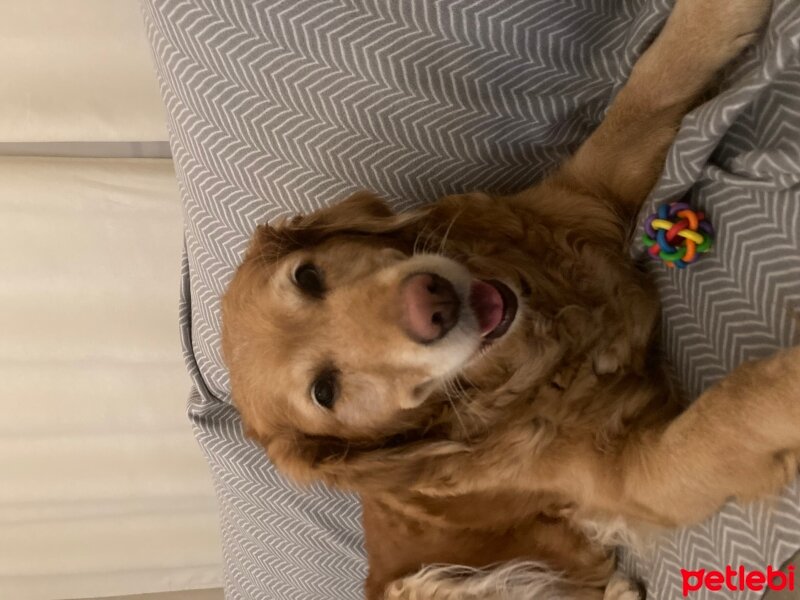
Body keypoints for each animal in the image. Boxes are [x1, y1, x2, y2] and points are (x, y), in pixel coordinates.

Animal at [220, 2, 800, 596]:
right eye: (324, 391)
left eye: (308, 276)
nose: (431, 304)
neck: (540, 347)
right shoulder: (637, 476)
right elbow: (729, 411)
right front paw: (788, 382)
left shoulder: (587, 190)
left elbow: (647, 90)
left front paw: (715, 16)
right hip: (435, 582)